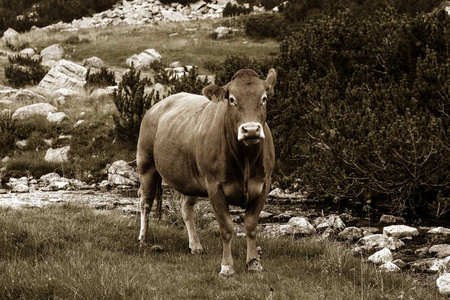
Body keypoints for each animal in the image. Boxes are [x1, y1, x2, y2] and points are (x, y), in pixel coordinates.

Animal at [137, 68, 276, 276]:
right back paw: (144, 240)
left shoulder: (263, 184)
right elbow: (226, 228)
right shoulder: (214, 186)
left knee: (186, 208)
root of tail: (156, 106)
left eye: (264, 98)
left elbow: (251, 226)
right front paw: (227, 266)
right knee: (146, 202)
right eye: (232, 99)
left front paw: (253, 263)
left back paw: (195, 245)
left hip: (189, 178)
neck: (245, 160)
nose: (250, 130)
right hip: (146, 164)